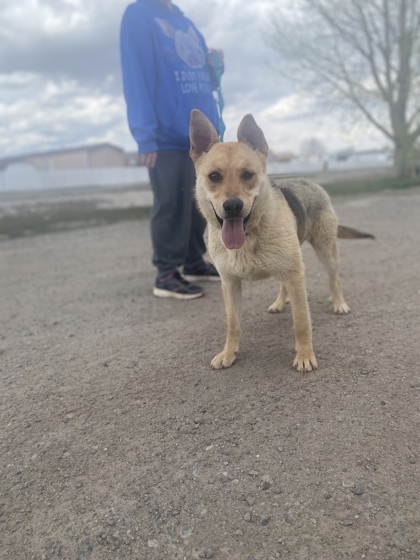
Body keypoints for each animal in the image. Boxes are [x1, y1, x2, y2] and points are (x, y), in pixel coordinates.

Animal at [189, 109, 372, 372]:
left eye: (248, 175)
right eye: (214, 176)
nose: (232, 207)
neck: (250, 235)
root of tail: (309, 181)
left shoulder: (296, 276)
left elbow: (301, 321)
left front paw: (304, 355)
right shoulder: (230, 283)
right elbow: (233, 324)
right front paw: (229, 353)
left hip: (325, 253)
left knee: (334, 278)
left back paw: (338, 303)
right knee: (284, 284)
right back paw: (279, 302)